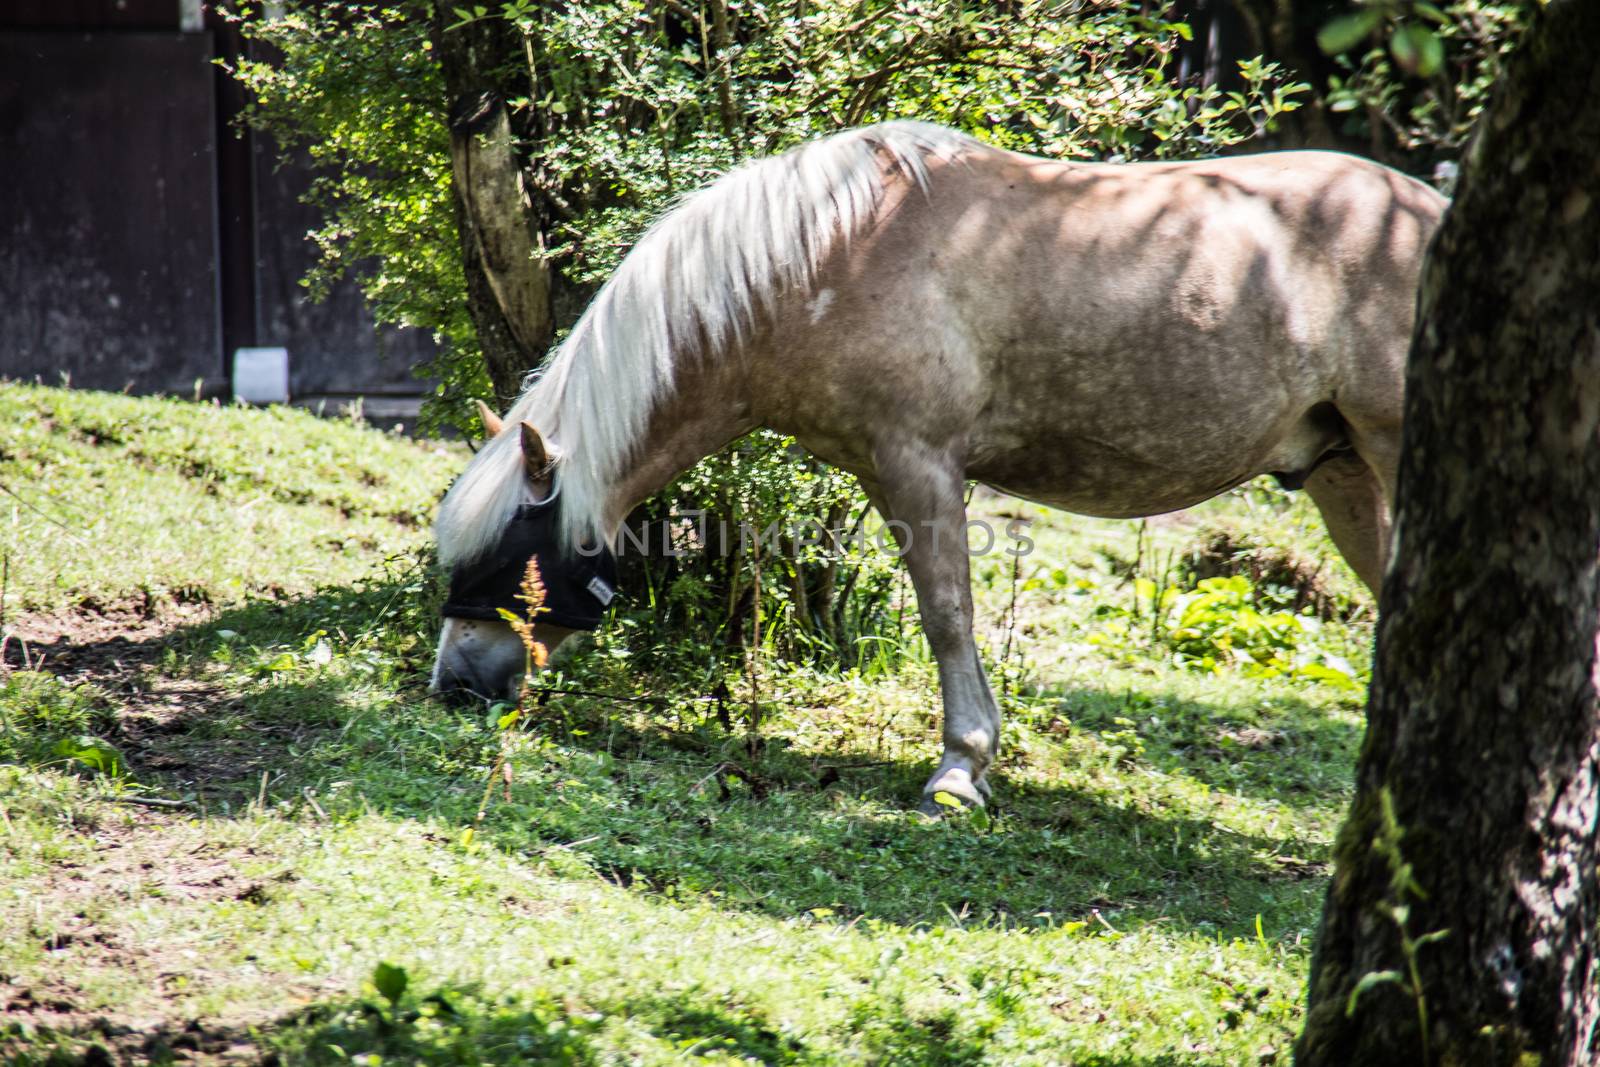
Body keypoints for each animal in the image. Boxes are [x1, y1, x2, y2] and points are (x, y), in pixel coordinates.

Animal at [428, 120, 1452, 812]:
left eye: (506, 555)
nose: (454, 685)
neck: (827, 254)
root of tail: (1431, 210)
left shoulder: (921, 464)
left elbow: (947, 615)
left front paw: (962, 769)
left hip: (1388, 450)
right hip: (1340, 472)